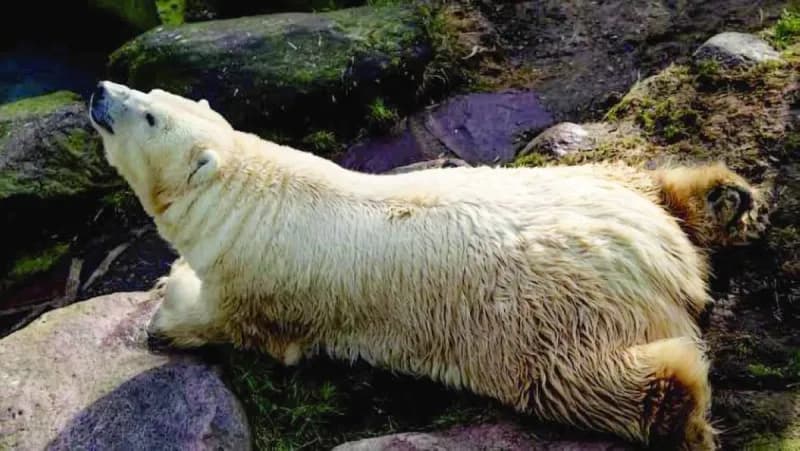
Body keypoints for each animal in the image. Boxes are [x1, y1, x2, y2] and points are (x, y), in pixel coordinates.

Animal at [88, 80, 767, 450]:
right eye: (150, 93)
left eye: (148, 113)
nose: (98, 92)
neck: (251, 198)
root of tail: (660, 260)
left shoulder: (259, 287)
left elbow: (229, 323)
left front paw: (166, 307)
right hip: (589, 187)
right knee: (636, 177)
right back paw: (723, 197)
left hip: (556, 324)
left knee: (602, 380)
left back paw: (682, 404)